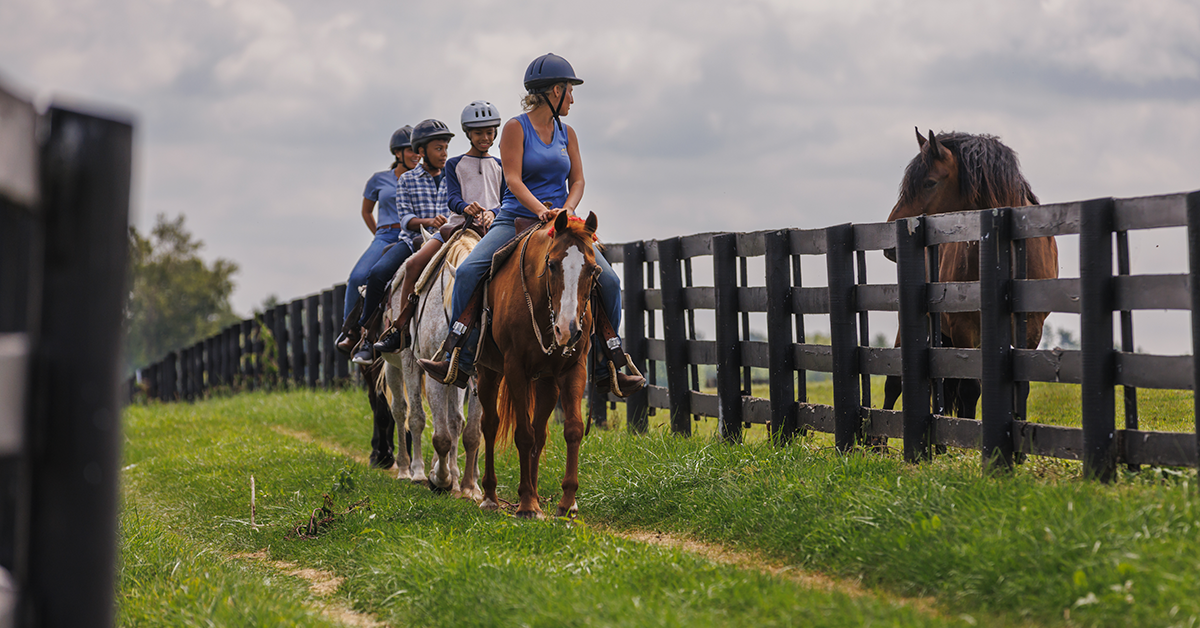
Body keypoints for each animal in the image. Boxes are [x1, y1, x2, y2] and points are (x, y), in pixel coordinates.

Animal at [380, 229, 484, 498]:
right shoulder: (422, 368)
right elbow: (430, 427)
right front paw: (435, 478)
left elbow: (468, 430)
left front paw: (468, 486)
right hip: (395, 367)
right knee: (401, 411)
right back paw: (407, 470)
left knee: (453, 420)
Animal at [476, 210, 599, 519]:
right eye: (551, 265)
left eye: (593, 270)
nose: (567, 330)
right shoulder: (514, 369)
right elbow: (523, 435)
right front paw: (527, 504)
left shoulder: (573, 369)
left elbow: (572, 429)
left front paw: (567, 502)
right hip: (488, 373)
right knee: (490, 425)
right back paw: (492, 496)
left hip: (546, 381)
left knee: (540, 432)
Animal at [883, 129, 1059, 420]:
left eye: (930, 183)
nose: (889, 241)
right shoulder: (965, 329)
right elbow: (969, 390)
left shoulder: (1031, 329)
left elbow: (1019, 388)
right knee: (894, 384)